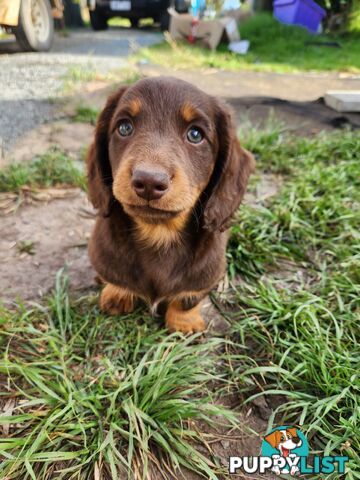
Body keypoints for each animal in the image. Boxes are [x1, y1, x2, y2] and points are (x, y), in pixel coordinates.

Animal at [87, 78, 255, 334]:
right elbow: (115, 278)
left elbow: (188, 298)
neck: (159, 232)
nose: (148, 182)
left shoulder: (205, 275)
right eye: (124, 128)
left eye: (195, 134)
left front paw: (184, 322)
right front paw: (117, 293)